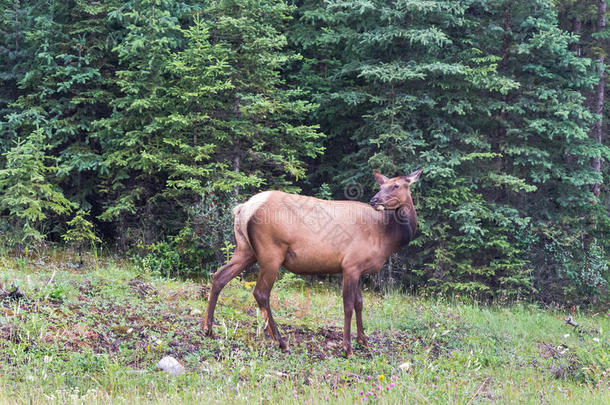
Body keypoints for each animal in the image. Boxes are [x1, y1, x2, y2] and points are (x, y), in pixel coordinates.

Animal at [202, 169, 420, 356]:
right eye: (382, 184)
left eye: (396, 185)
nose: (374, 199)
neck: (386, 237)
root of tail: (242, 209)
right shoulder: (350, 265)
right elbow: (348, 305)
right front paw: (347, 348)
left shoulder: (359, 270)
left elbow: (360, 304)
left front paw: (364, 341)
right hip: (271, 252)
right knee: (260, 293)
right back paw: (280, 341)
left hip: (245, 249)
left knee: (219, 276)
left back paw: (208, 329)